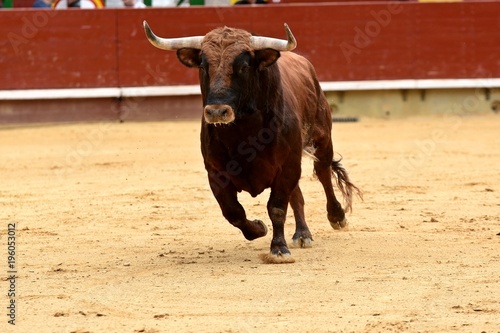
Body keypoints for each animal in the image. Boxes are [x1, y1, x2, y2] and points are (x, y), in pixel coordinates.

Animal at [143, 22, 362, 264]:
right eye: (203, 64)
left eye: (244, 66)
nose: (217, 111)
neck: (243, 132)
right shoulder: (215, 172)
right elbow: (233, 211)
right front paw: (259, 228)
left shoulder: (287, 165)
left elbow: (276, 207)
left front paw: (279, 249)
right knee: (297, 193)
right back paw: (302, 234)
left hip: (321, 138)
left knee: (323, 172)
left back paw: (336, 216)